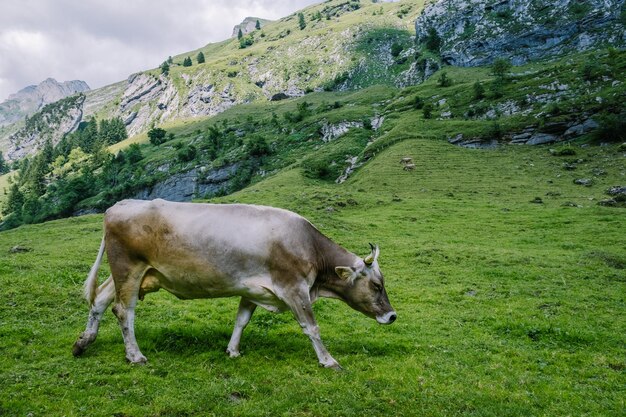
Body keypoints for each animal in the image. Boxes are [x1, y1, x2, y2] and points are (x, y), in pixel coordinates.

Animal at [72, 198, 394, 368]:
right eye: (376, 285)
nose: (392, 316)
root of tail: (120, 205)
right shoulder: (294, 288)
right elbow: (311, 327)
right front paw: (328, 360)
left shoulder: (252, 289)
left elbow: (241, 321)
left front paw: (233, 350)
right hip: (129, 268)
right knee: (123, 311)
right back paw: (135, 355)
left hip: (129, 273)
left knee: (99, 299)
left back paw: (83, 342)